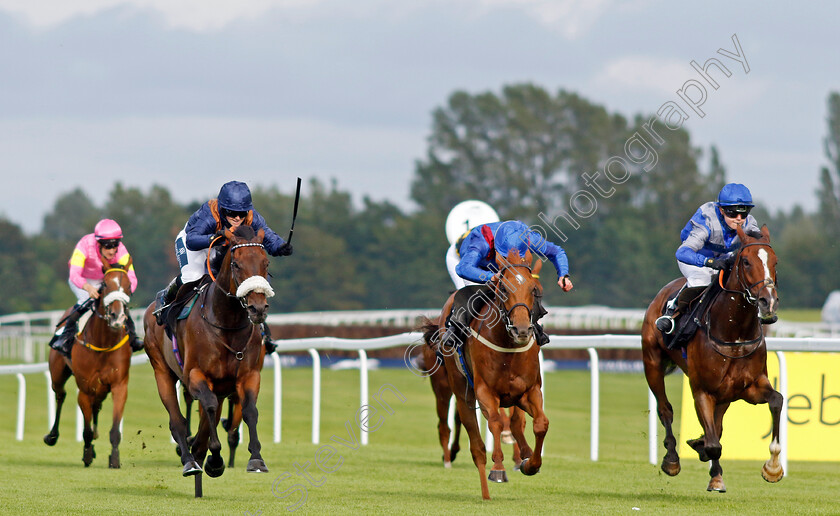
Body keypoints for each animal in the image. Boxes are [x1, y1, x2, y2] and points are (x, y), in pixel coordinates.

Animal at [44, 260, 135, 470]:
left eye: (128, 286)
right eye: (105, 285)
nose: (117, 317)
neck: (103, 341)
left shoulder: (119, 385)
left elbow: (115, 429)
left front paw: (114, 459)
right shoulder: (84, 389)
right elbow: (85, 429)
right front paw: (86, 454)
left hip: (100, 388)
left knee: (96, 406)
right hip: (58, 374)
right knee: (60, 395)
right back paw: (52, 436)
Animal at [144, 225, 272, 492]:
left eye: (266, 263)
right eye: (236, 264)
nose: (257, 308)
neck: (228, 323)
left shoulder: (248, 376)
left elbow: (249, 410)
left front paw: (256, 458)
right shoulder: (195, 376)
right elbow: (210, 408)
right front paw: (214, 458)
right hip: (162, 370)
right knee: (177, 420)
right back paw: (190, 460)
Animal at [420, 250, 544, 500]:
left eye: (534, 289)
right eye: (503, 288)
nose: (522, 330)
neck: (508, 347)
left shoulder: (528, 391)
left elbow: (538, 424)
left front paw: (530, 463)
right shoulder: (485, 391)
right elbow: (495, 422)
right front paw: (498, 468)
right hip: (451, 389)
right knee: (469, 441)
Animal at [644, 226, 788, 492]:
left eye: (775, 261)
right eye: (745, 261)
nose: (768, 301)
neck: (734, 331)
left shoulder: (749, 387)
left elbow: (777, 400)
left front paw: (773, 468)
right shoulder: (702, 389)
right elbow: (713, 444)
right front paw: (701, 453)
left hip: (725, 394)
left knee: (716, 425)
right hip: (652, 363)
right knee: (665, 409)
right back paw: (672, 459)